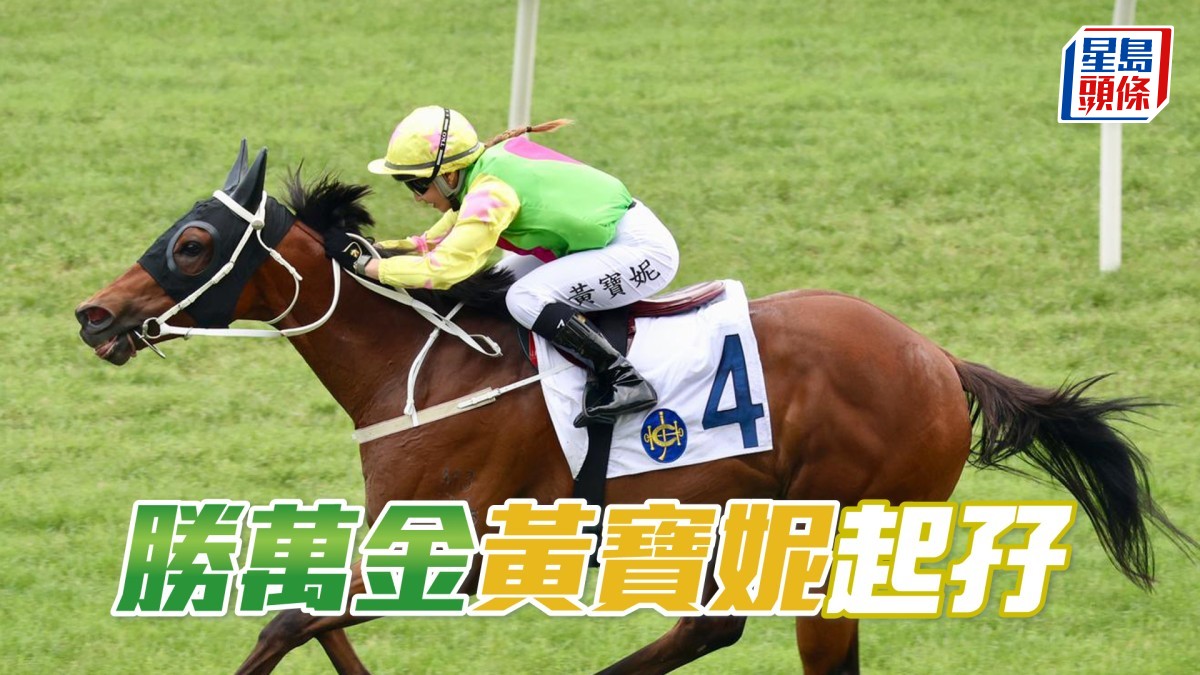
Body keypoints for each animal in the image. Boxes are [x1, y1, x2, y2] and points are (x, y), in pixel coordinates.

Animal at [75, 144, 1195, 675]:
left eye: (190, 244)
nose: (95, 315)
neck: (424, 365)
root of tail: (936, 359)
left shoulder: (467, 543)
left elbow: (287, 621)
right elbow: (308, 621)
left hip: (836, 527)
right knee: (714, 627)